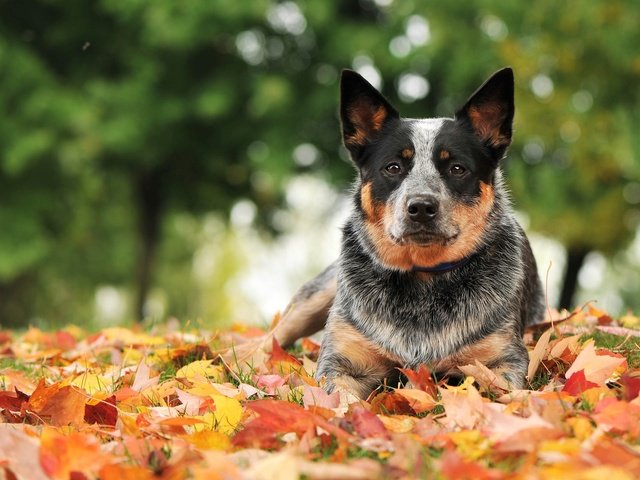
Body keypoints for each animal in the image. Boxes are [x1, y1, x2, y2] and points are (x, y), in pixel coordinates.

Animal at [272, 66, 544, 398]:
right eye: (393, 167)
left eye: (457, 168)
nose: (421, 206)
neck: (422, 280)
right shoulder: (343, 362)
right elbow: (340, 399)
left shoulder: (502, 360)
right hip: (318, 295)